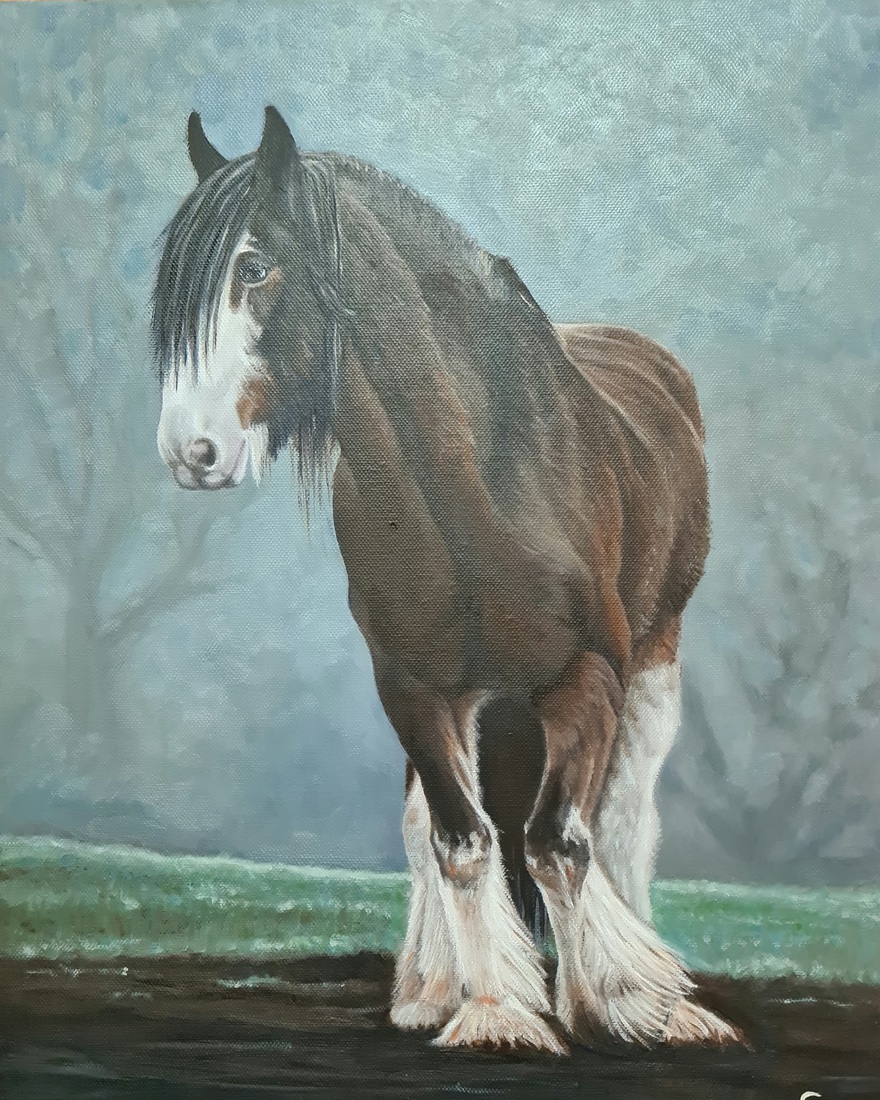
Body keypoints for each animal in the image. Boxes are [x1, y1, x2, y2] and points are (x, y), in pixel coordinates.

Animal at [151, 105, 741, 1054]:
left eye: (253, 266)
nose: (191, 451)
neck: (477, 476)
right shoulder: (416, 688)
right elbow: (461, 841)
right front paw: (493, 1010)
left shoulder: (587, 679)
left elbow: (559, 845)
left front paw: (617, 1000)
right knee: (434, 823)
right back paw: (432, 985)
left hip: (656, 658)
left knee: (622, 824)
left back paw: (658, 997)